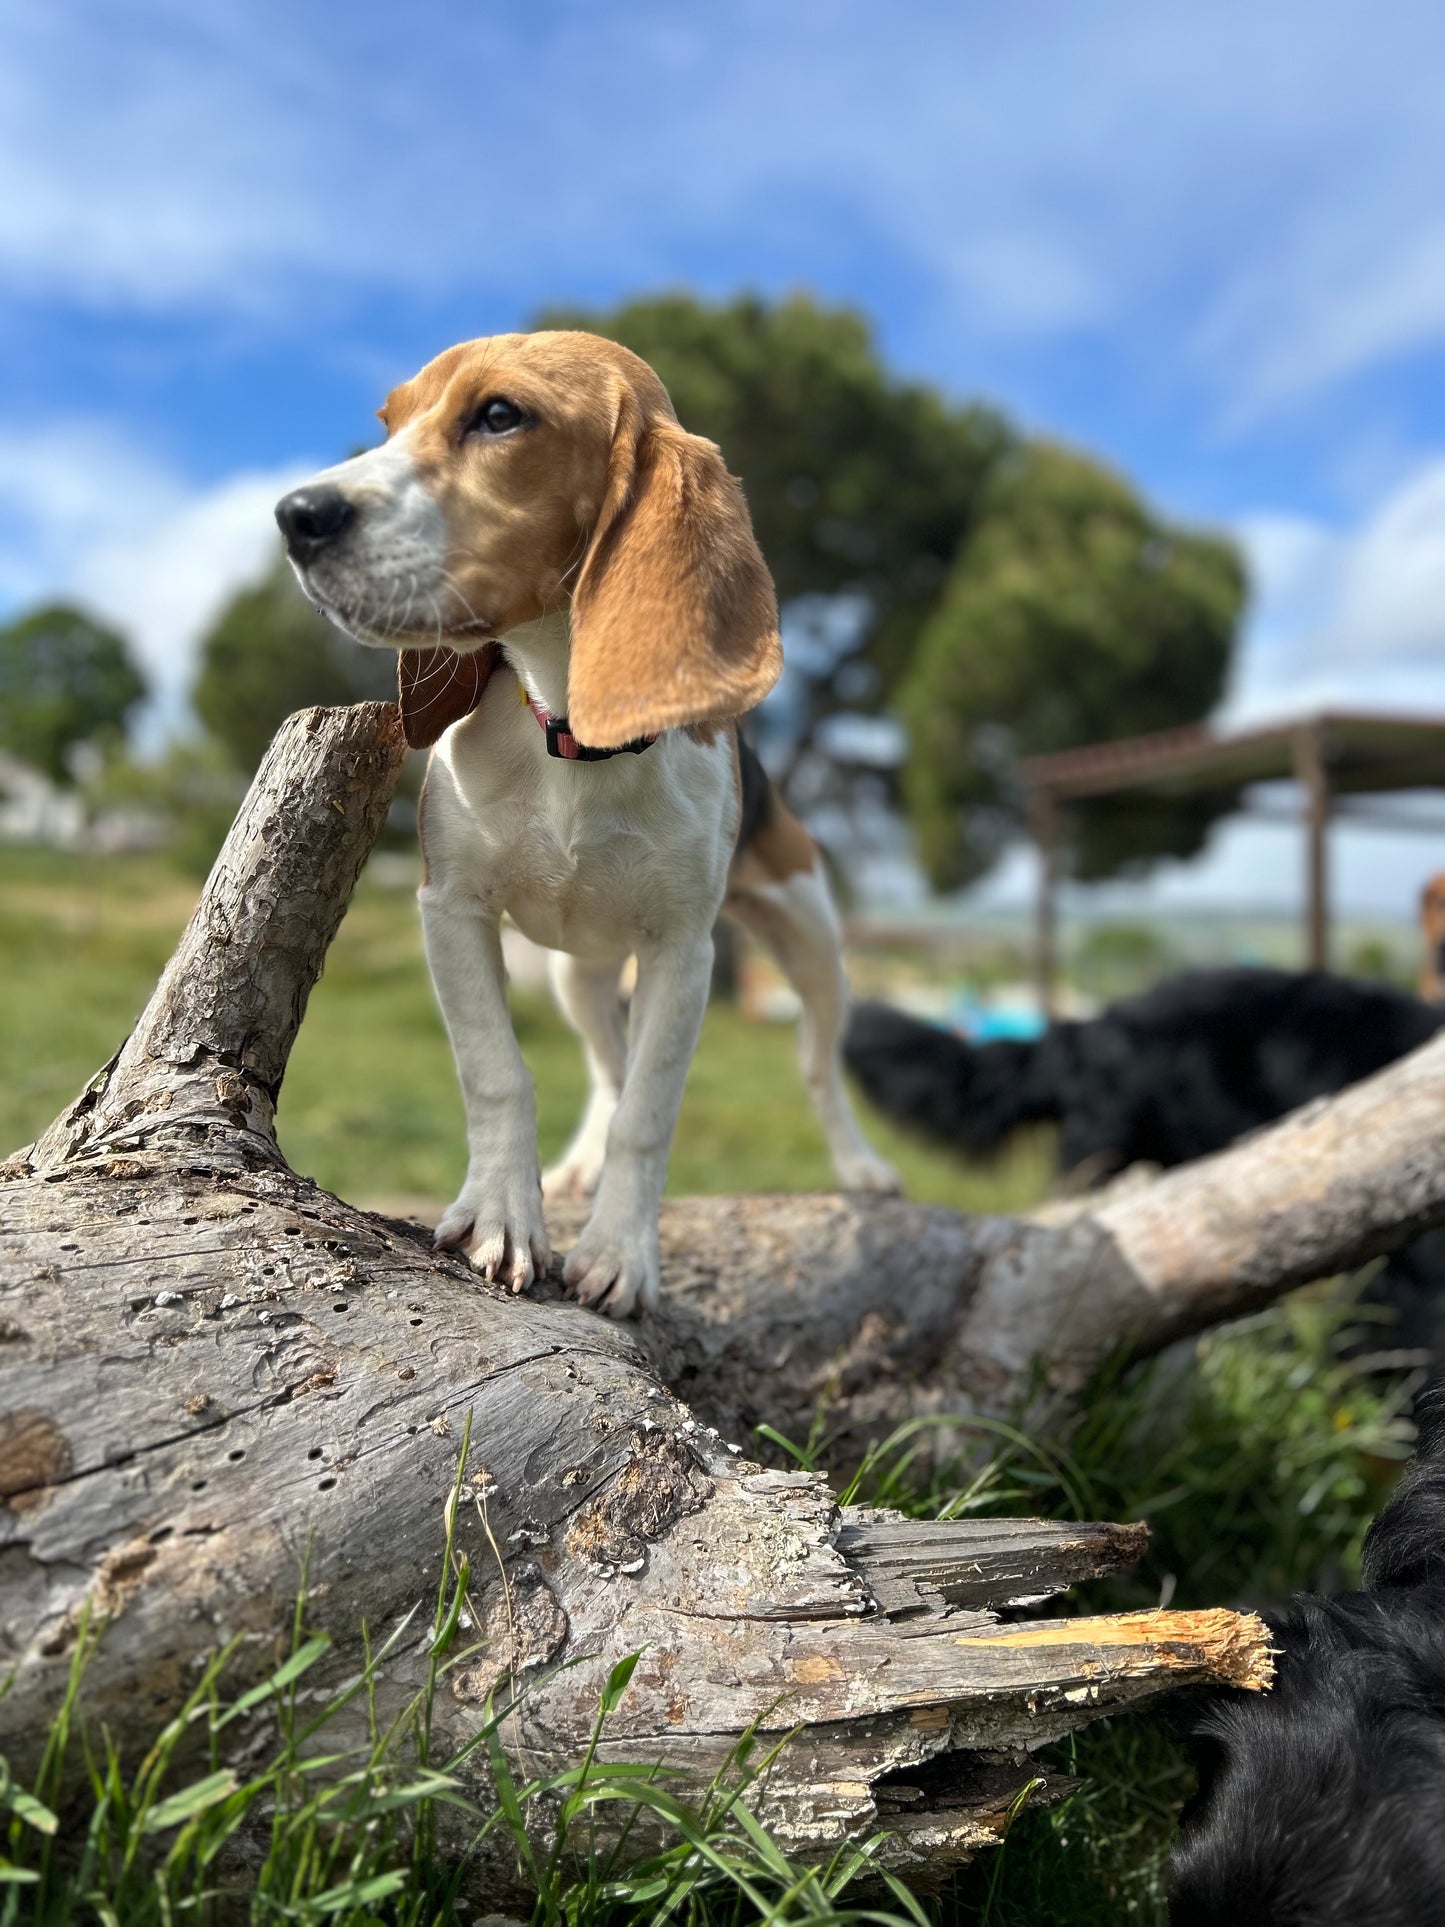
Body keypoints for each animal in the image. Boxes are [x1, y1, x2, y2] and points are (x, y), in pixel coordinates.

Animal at [277, 335, 901, 1325]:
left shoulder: (684, 953)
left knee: (813, 1065)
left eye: (500, 416)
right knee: (605, 1068)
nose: (295, 515)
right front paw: (505, 1215)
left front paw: (619, 1254)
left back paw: (860, 1167)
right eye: (390, 422)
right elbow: (499, 1071)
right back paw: (571, 1167)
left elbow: (648, 1115)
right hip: (579, 973)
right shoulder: (450, 908)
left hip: (813, 947)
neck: (572, 729)